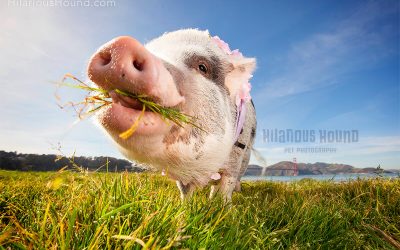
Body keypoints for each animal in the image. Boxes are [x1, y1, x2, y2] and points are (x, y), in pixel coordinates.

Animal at [87, 29, 256, 201]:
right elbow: (185, 191)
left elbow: (226, 188)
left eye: (202, 67)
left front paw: (222, 207)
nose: (122, 44)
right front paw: (185, 207)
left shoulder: (236, 156)